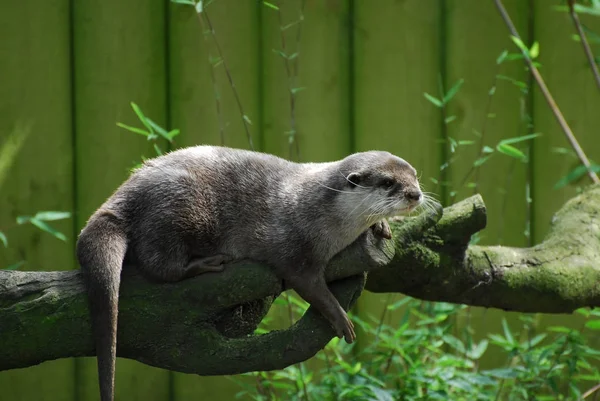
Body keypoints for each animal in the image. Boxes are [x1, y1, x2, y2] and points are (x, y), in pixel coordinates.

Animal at [76, 145, 422, 400]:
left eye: (415, 176)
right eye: (388, 183)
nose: (415, 194)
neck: (321, 211)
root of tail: (125, 193)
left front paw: (381, 225)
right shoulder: (292, 246)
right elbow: (308, 284)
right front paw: (341, 319)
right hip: (176, 211)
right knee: (158, 264)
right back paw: (205, 263)